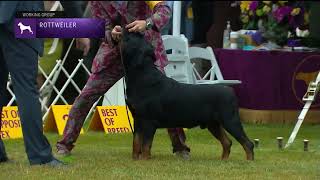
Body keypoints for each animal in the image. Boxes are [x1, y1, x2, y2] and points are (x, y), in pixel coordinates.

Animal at [119, 30, 254, 161]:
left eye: (129, 38)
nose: (129, 28)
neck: (142, 75)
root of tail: (230, 91)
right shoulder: (138, 119)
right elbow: (136, 142)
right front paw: (135, 160)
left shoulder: (149, 122)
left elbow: (146, 145)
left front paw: (144, 161)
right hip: (213, 124)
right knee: (227, 142)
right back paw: (224, 161)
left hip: (230, 120)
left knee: (248, 143)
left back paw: (248, 161)